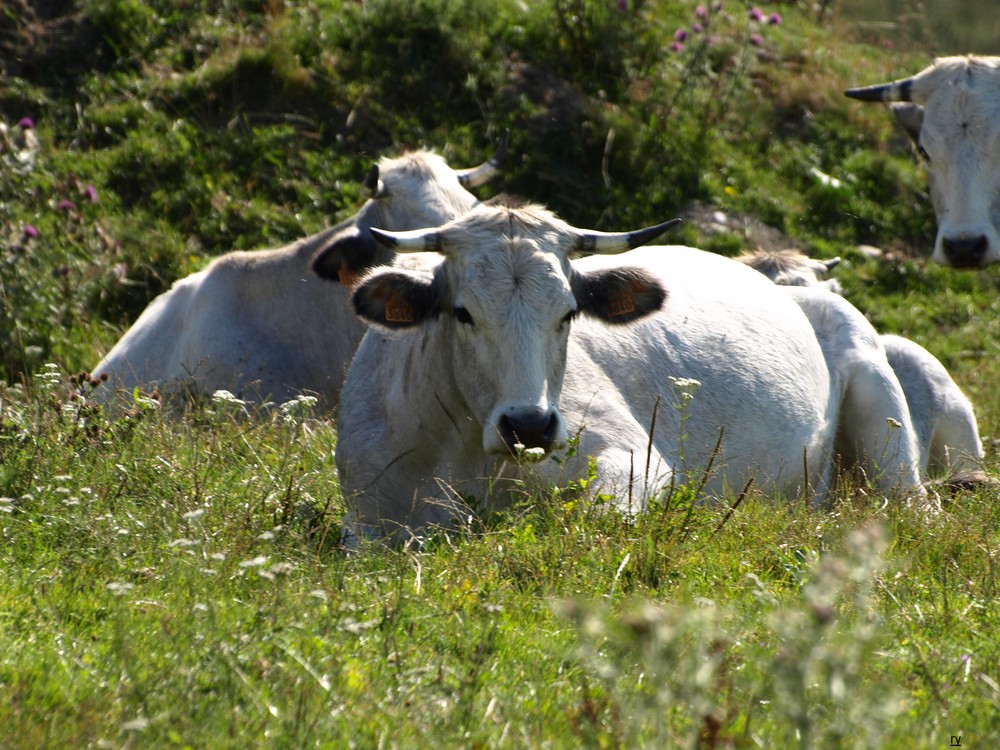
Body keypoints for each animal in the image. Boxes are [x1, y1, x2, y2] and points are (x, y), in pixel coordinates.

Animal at [336, 203, 920, 544]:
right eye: (463, 313)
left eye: (568, 313)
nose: (529, 426)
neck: (468, 460)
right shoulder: (364, 520)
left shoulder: (631, 458)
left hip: (887, 427)